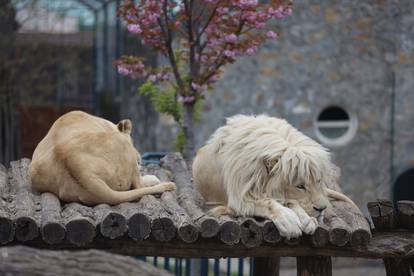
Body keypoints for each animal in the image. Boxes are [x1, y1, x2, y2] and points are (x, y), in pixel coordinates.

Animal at [192, 114, 358, 239]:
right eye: (300, 186)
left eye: (318, 181)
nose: (322, 209)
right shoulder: (239, 199)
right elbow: (267, 202)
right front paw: (289, 221)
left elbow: (289, 201)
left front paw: (307, 220)